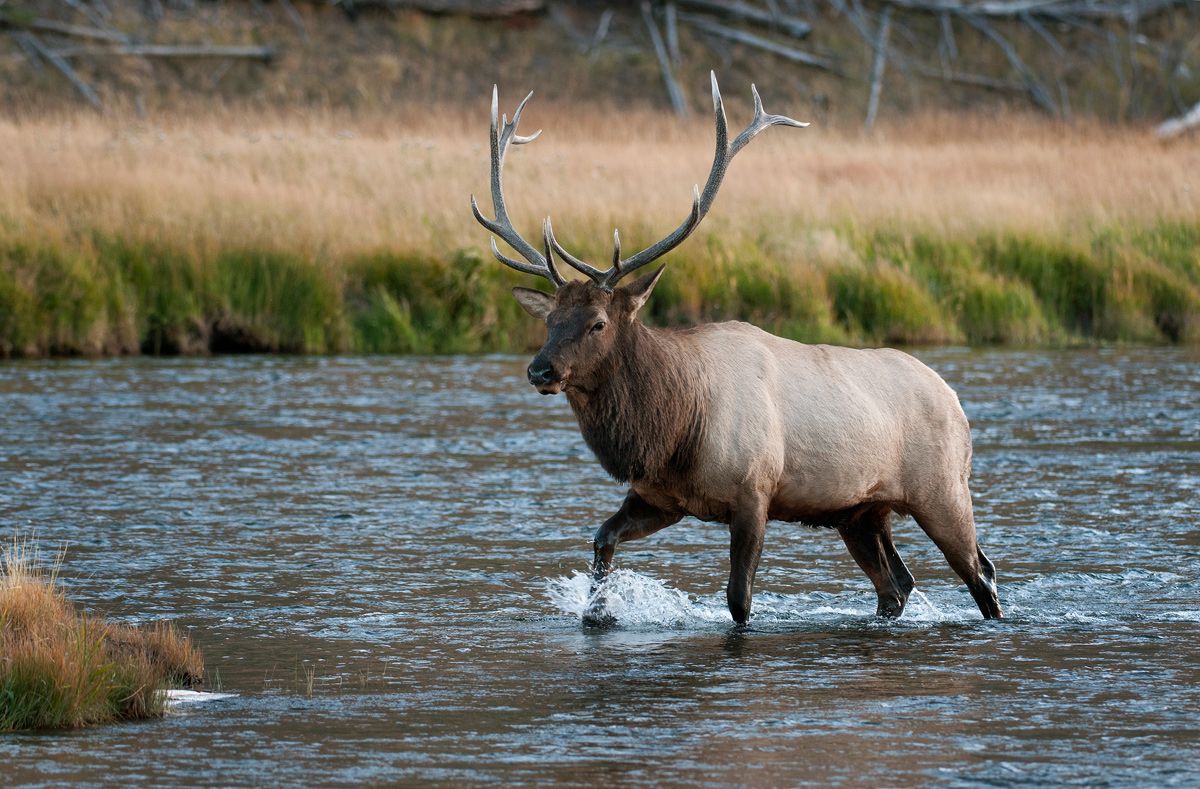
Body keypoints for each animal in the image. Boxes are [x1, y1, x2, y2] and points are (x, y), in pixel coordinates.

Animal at [470, 74, 1003, 625]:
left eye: (598, 322)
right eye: (549, 321)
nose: (540, 370)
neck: (675, 428)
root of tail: (955, 400)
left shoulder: (754, 491)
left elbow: (739, 598)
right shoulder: (662, 497)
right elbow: (602, 539)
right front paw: (597, 610)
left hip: (942, 490)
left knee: (981, 573)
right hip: (860, 512)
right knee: (897, 583)